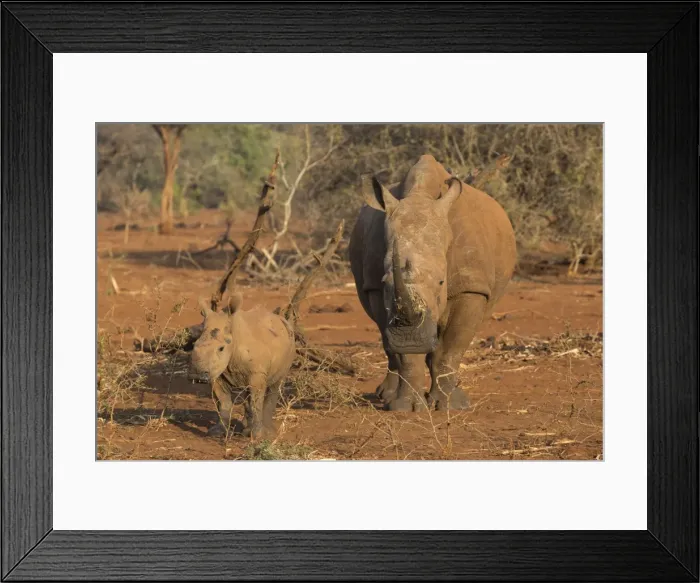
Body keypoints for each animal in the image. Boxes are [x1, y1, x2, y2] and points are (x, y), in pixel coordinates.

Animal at [189, 293, 296, 438]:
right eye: (194, 345)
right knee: (247, 393)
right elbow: (224, 402)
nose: (197, 375)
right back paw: (245, 429)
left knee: (276, 385)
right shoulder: (216, 372)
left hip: (291, 344)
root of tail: (281, 319)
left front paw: (257, 436)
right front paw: (218, 432)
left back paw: (268, 432)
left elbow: (256, 402)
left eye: (221, 348)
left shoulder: (257, 373)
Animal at [349, 154, 516, 412]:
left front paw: (449, 406)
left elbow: (452, 348)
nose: (411, 337)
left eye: (440, 281)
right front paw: (406, 407)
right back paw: (386, 396)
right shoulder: (376, 288)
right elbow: (404, 354)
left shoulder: (471, 286)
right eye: (386, 280)